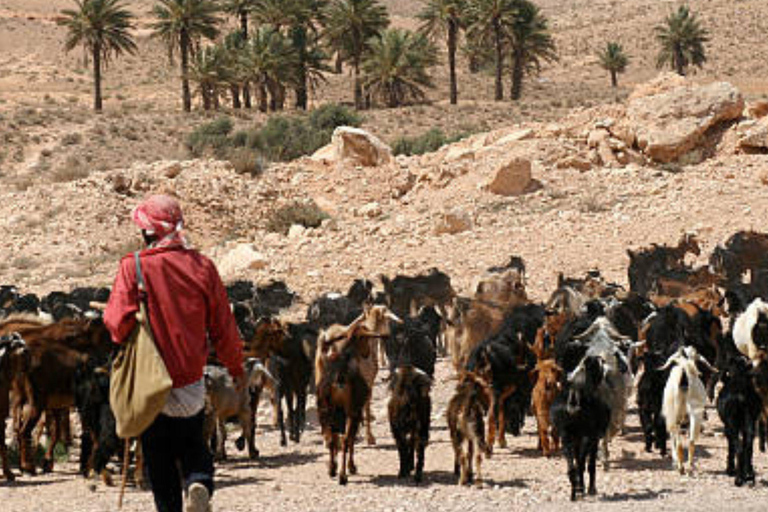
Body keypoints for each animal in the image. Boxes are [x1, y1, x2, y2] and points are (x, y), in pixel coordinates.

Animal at [660, 346, 712, 474]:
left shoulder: (671, 416)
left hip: (676, 414)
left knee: (679, 441)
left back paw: (681, 467)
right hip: (694, 414)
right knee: (691, 440)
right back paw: (689, 466)